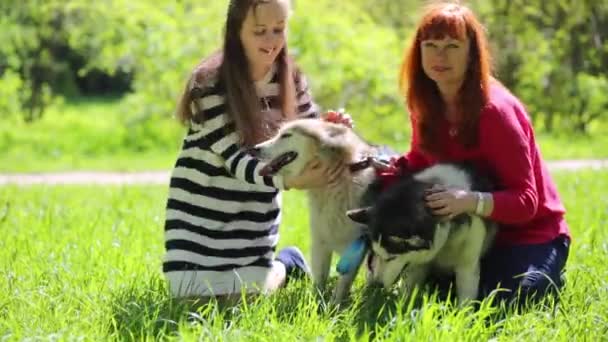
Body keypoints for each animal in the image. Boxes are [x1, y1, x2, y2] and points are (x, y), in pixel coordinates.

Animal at [252, 119, 394, 304]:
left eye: (286, 135)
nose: (253, 149)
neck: (333, 185)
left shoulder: (357, 245)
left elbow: (342, 285)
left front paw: (335, 307)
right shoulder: (320, 242)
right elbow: (319, 280)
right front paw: (315, 304)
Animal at [350, 164, 496, 304]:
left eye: (392, 258)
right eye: (375, 253)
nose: (376, 285)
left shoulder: (467, 266)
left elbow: (465, 301)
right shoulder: (417, 265)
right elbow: (406, 295)